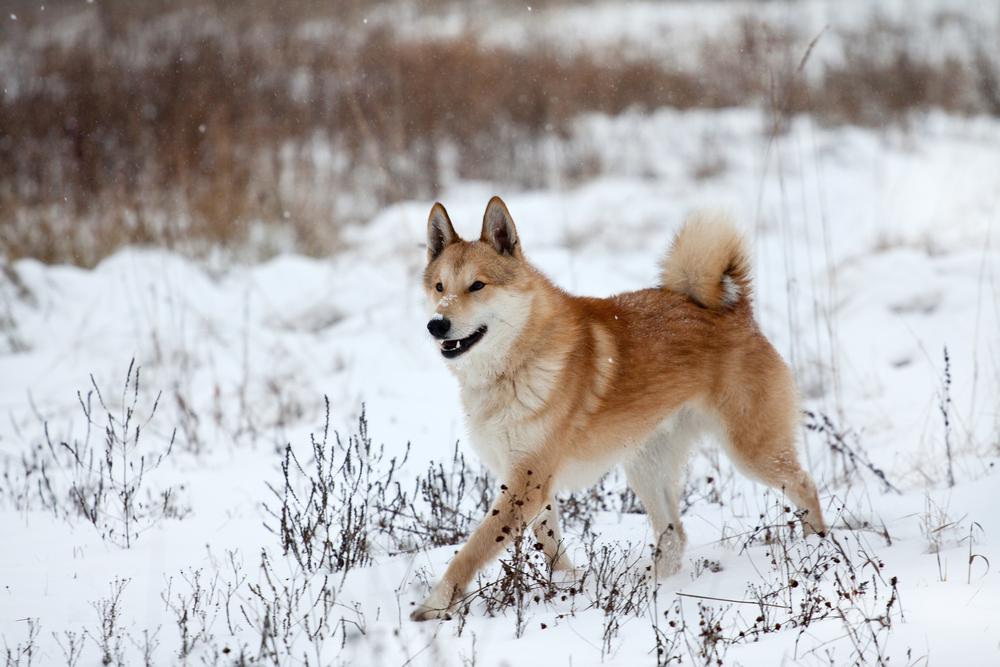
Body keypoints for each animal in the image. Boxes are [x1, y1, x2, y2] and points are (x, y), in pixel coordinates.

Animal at [410, 197, 824, 620]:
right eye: (439, 286)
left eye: (477, 285)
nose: (436, 324)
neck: (517, 362)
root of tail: (734, 310)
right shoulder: (528, 483)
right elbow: (550, 544)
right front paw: (567, 585)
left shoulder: (527, 481)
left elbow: (472, 550)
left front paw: (434, 606)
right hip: (645, 466)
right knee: (674, 537)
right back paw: (649, 586)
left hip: (752, 452)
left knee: (805, 485)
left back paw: (815, 548)